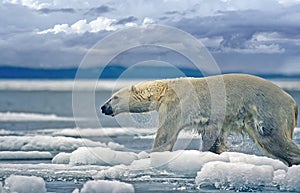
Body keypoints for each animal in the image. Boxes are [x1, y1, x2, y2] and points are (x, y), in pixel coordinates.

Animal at [101, 74, 300, 166]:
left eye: (114, 97)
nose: (103, 107)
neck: (164, 89)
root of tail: (292, 102)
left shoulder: (177, 104)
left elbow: (166, 134)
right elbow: (214, 135)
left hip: (267, 112)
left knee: (274, 139)